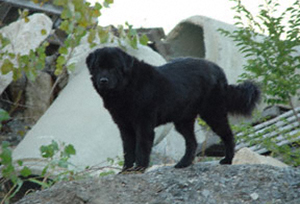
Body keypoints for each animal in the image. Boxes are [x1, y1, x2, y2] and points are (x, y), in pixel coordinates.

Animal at [86, 47, 260, 172]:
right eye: (99, 67)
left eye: (113, 68)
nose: (103, 80)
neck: (126, 87)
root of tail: (217, 69)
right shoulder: (124, 126)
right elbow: (128, 150)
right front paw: (126, 171)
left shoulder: (144, 124)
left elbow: (141, 148)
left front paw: (139, 169)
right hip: (183, 121)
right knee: (192, 142)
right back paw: (183, 163)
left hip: (212, 113)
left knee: (228, 135)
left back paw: (227, 160)